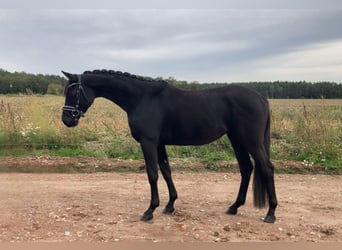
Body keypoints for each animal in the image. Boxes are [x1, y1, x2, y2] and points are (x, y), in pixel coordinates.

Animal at [60, 70, 278, 223]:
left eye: (73, 92)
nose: (66, 120)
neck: (142, 98)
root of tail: (261, 98)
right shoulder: (159, 144)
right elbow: (166, 172)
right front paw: (170, 205)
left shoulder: (148, 142)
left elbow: (152, 174)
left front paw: (150, 210)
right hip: (237, 140)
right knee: (246, 168)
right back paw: (234, 207)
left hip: (251, 142)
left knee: (266, 168)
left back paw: (271, 213)